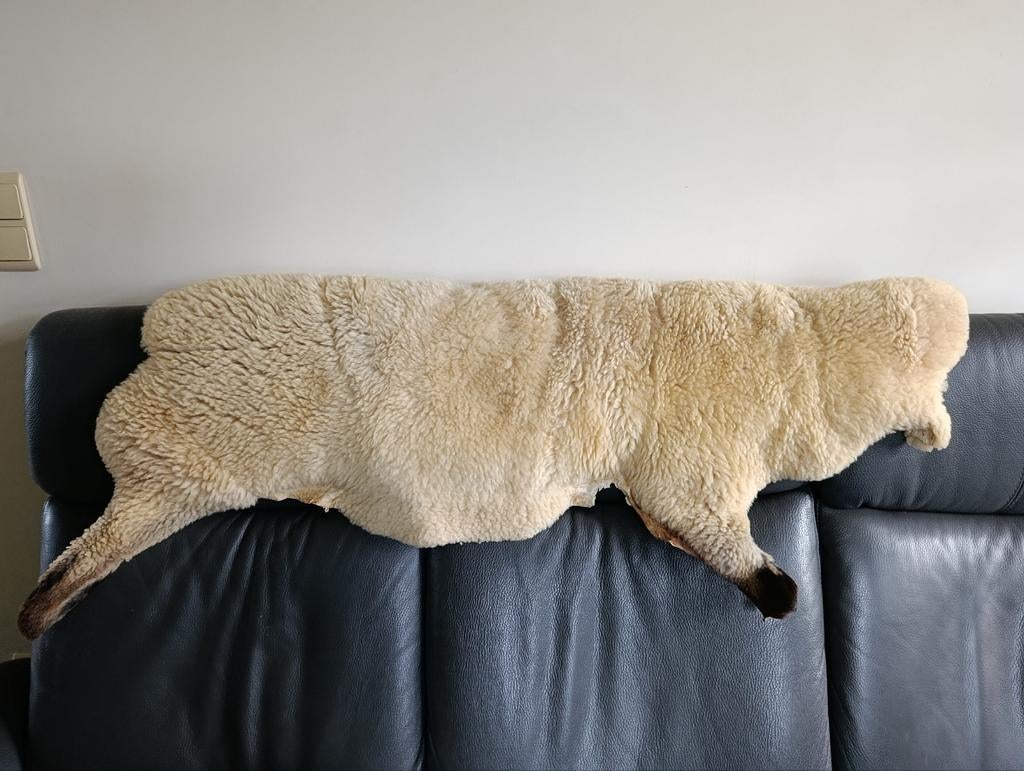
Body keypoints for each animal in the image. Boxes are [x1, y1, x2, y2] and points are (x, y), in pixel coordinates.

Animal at [18, 275, 969, 639]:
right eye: (939, 360)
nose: (940, 434)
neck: (804, 358)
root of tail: (161, 331)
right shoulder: (696, 470)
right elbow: (758, 568)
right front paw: (776, 594)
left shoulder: (680, 483)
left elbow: (686, 530)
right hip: (189, 455)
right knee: (93, 547)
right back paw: (40, 613)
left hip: (175, 463)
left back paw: (44, 609)